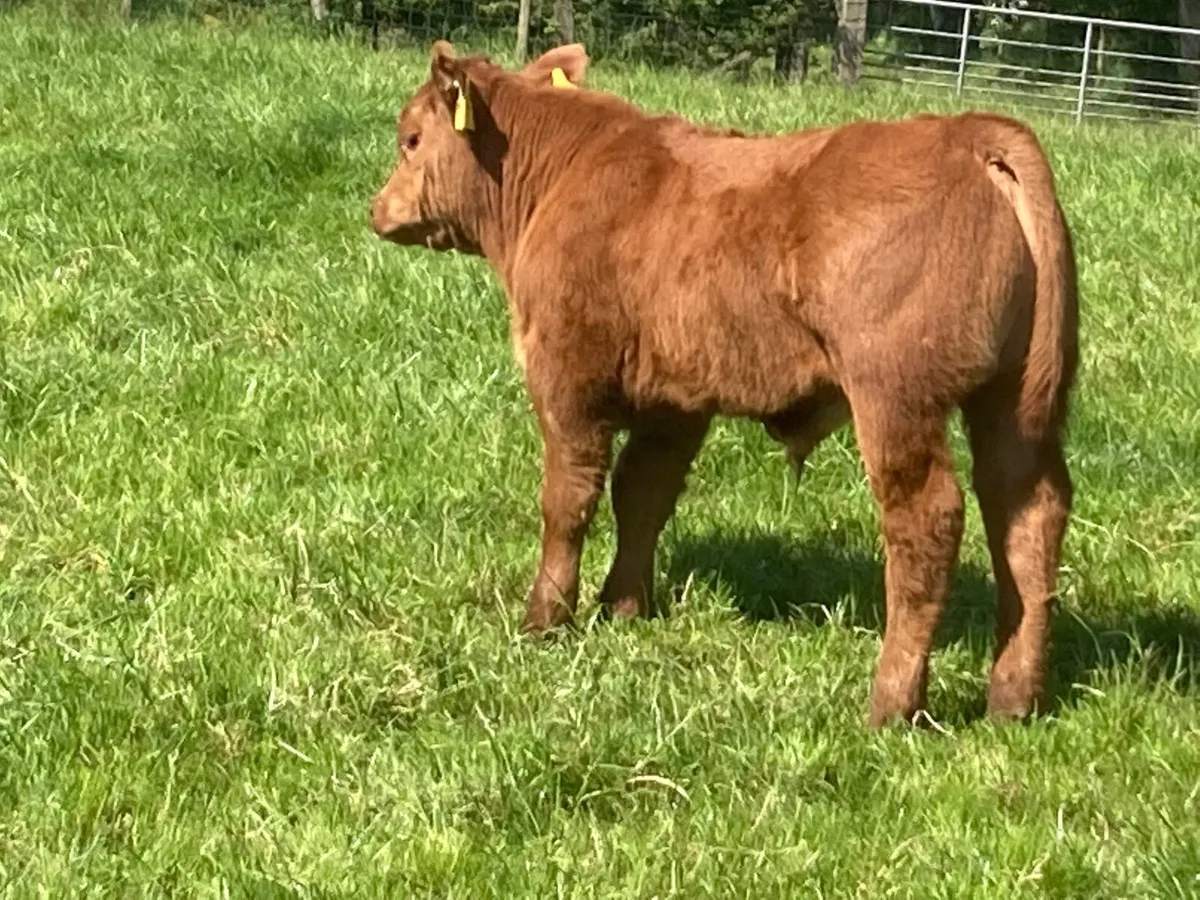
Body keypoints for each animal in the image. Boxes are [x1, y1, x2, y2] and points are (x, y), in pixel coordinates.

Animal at [370, 40, 1080, 728]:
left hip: (896, 398)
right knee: (1027, 513)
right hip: (1015, 403)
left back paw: (891, 704)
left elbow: (568, 501)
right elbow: (643, 494)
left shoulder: (568, 375)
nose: (377, 210)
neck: (564, 175)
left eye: (411, 138)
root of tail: (967, 132)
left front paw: (545, 619)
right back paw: (1013, 700)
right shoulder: (675, 400)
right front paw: (625, 605)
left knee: (928, 521)